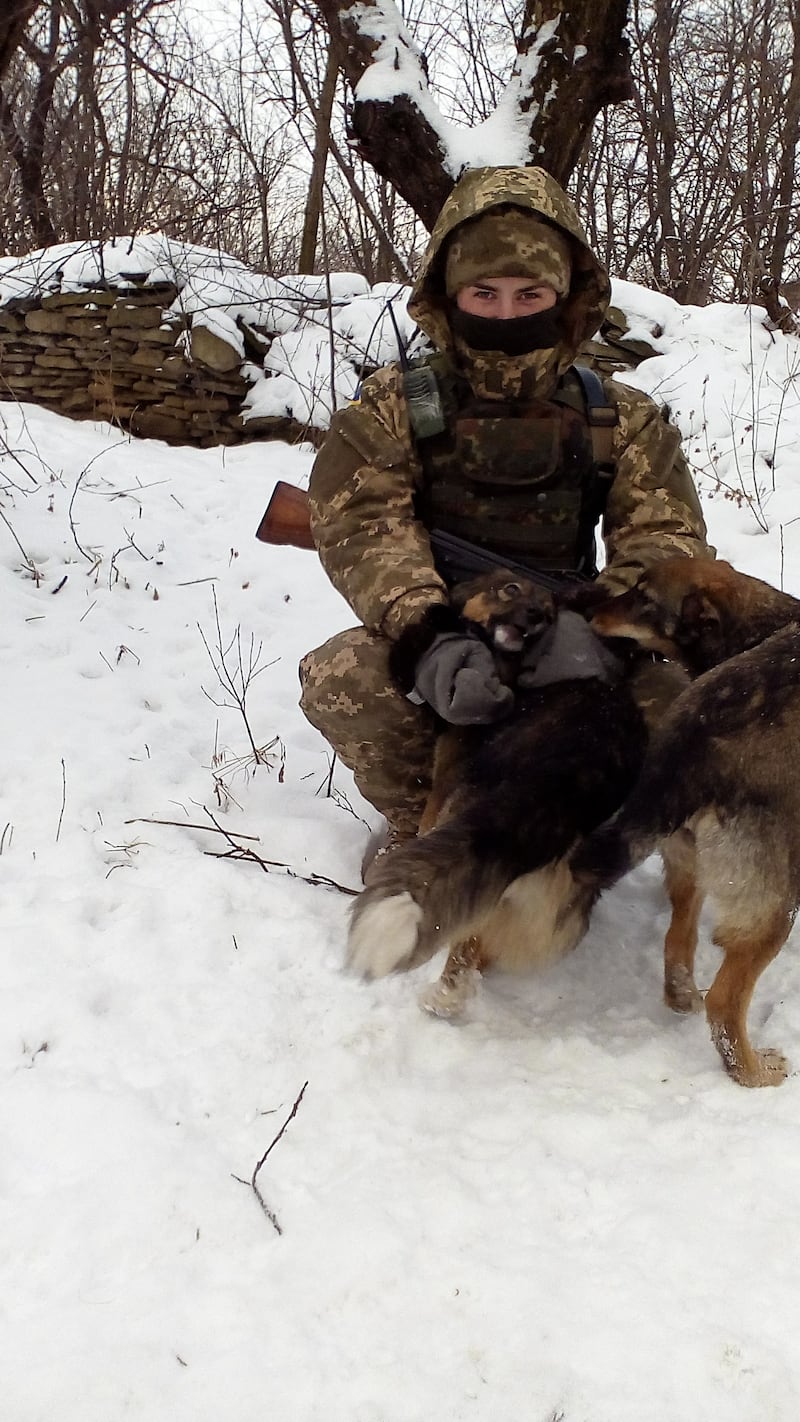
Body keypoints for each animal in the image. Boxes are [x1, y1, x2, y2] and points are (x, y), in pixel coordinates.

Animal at [348, 560, 647, 1018]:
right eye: (510, 589)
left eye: (546, 612)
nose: (535, 616)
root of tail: (557, 790)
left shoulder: (443, 788)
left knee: (463, 941)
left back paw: (442, 996)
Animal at [574, 554, 800, 1086]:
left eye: (643, 597)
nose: (586, 605)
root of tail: (691, 741)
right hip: (776, 907)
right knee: (724, 1004)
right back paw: (756, 1074)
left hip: (688, 860)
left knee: (678, 943)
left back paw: (681, 996)